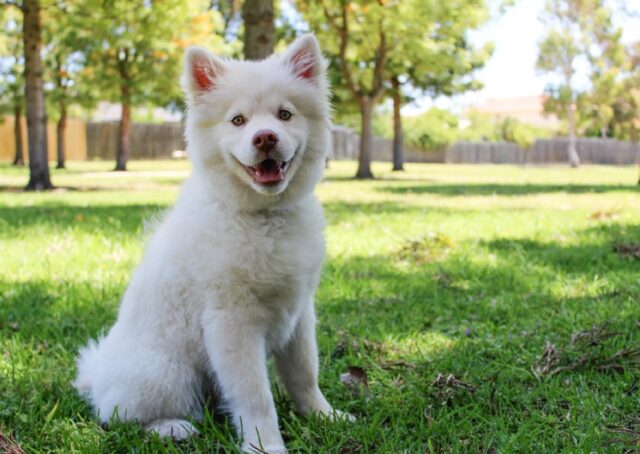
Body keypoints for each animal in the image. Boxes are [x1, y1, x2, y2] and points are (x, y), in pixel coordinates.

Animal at [73, 33, 344, 452]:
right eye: (238, 120)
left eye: (285, 115)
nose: (265, 138)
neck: (264, 217)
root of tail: (98, 375)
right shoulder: (232, 321)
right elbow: (255, 395)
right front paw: (265, 445)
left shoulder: (299, 312)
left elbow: (304, 374)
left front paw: (324, 417)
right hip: (167, 373)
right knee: (118, 415)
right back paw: (172, 428)